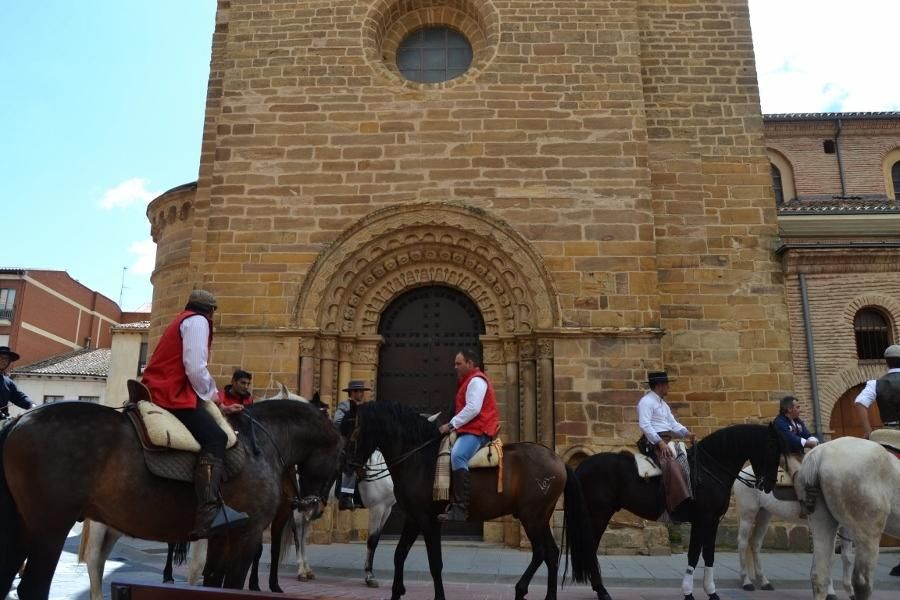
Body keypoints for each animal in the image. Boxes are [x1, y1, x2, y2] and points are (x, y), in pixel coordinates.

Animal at [0, 398, 342, 600]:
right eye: (340, 458)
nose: (313, 506)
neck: (261, 443)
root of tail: (20, 420)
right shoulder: (246, 535)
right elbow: (232, 584)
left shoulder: (221, 538)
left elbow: (211, 582)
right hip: (51, 526)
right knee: (39, 585)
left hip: (24, 525)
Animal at [342, 400, 600, 600]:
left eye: (351, 433)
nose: (347, 466)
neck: (418, 457)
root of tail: (559, 461)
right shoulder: (413, 518)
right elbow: (399, 555)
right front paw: (396, 592)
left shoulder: (428, 520)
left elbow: (435, 563)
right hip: (538, 517)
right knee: (549, 554)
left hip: (533, 517)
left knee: (543, 552)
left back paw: (525, 589)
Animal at [572, 422, 784, 600]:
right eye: (772, 448)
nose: (769, 485)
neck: (709, 469)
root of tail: (581, 467)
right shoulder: (702, 519)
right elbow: (694, 554)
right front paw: (688, 592)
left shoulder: (713, 521)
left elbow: (709, 555)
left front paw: (711, 592)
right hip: (598, 514)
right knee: (590, 548)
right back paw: (601, 590)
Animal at [732, 464, 852, 596]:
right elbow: (829, 559)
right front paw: (830, 593)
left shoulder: (845, 528)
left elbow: (846, 557)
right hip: (747, 516)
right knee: (742, 544)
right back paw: (746, 582)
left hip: (764, 514)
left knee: (755, 543)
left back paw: (764, 582)